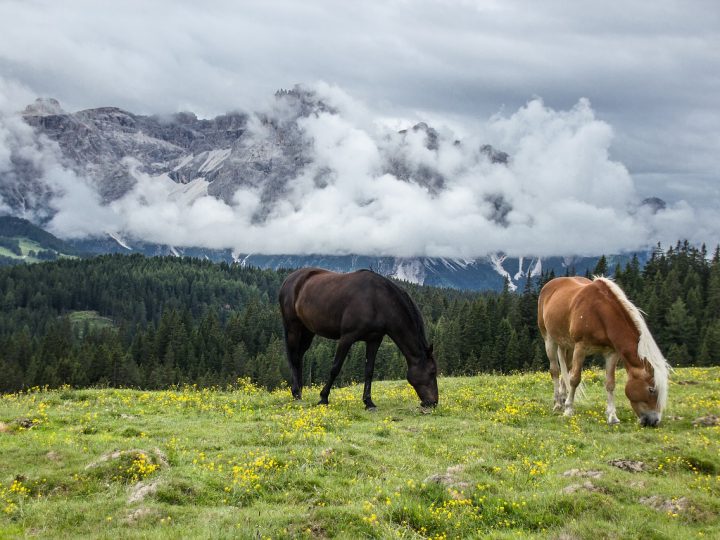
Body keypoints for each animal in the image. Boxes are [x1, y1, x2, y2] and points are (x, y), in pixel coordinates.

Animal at [280, 266, 438, 410]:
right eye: (432, 372)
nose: (433, 402)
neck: (377, 301)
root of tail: (289, 279)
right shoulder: (346, 338)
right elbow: (335, 368)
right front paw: (323, 398)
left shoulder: (374, 340)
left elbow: (369, 371)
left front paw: (368, 402)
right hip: (293, 328)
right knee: (294, 358)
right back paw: (296, 393)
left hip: (308, 331)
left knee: (299, 356)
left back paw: (299, 392)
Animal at [536, 278, 668, 426]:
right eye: (651, 389)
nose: (654, 421)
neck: (599, 313)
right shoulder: (580, 348)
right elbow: (575, 379)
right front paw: (568, 410)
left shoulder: (611, 353)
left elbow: (610, 384)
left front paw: (612, 416)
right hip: (549, 339)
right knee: (555, 370)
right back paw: (558, 404)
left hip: (567, 345)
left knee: (566, 370)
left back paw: (563, 399)